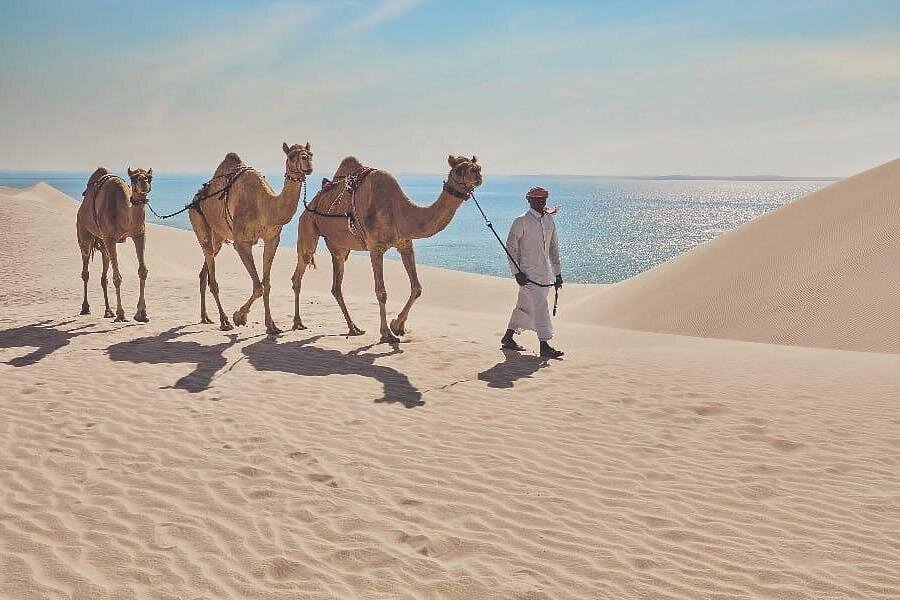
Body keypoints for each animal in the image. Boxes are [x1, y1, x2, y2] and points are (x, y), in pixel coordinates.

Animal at [76, 167, 153, 322]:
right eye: (133, 177)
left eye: (150, 177)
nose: (144, 182)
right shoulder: (110, 238)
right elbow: (117, 278)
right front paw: (121, 313)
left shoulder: (139, 234)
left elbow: (143, 271)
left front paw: (141, 313)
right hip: (84, 234)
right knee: (85, 271)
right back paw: (85, 308)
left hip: (102, 243)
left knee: (103, 276)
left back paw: (108, 311)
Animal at [188, 142, 313, 334]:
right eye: (291, 156)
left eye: (310, 154)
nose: (307, 162)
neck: (266, 206)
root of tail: (196, 197)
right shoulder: (241, 242)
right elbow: (258, 287)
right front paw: (239, 317)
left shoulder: (272, 239)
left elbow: (266, 285)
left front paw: (271, 325)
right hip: (197, 219)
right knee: (210, 270)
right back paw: (224, 321)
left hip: (218, 236)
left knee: (205, 271)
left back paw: (205, 317)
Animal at [291, 154, 483, 343]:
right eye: (459, 169)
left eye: (477, 166)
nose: (478, 174)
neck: (400, 212)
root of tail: (311, 204)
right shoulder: (375, 248)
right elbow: (381, 292)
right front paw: (386, 333)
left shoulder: (405, 244)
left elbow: (417, 288)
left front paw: (397, 325)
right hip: (307, 225)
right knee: (299, 273)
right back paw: (298, 323)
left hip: (340, 248)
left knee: (336, 286)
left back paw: (353, 328)